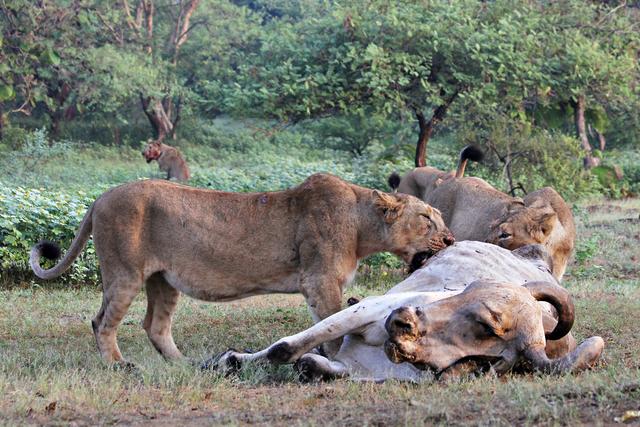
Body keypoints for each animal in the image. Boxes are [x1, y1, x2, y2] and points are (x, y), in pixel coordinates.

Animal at [28, 173, 450, 364]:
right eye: (428, 218)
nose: (449, 239)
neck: (362, 225)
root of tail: (100, 198)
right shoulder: (320, 281)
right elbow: (331, 327)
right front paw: (333, 359)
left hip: (163, 281)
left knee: (155, 325)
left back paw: (184, 365)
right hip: (125, 274)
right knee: (102, 322)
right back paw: (119, 366)